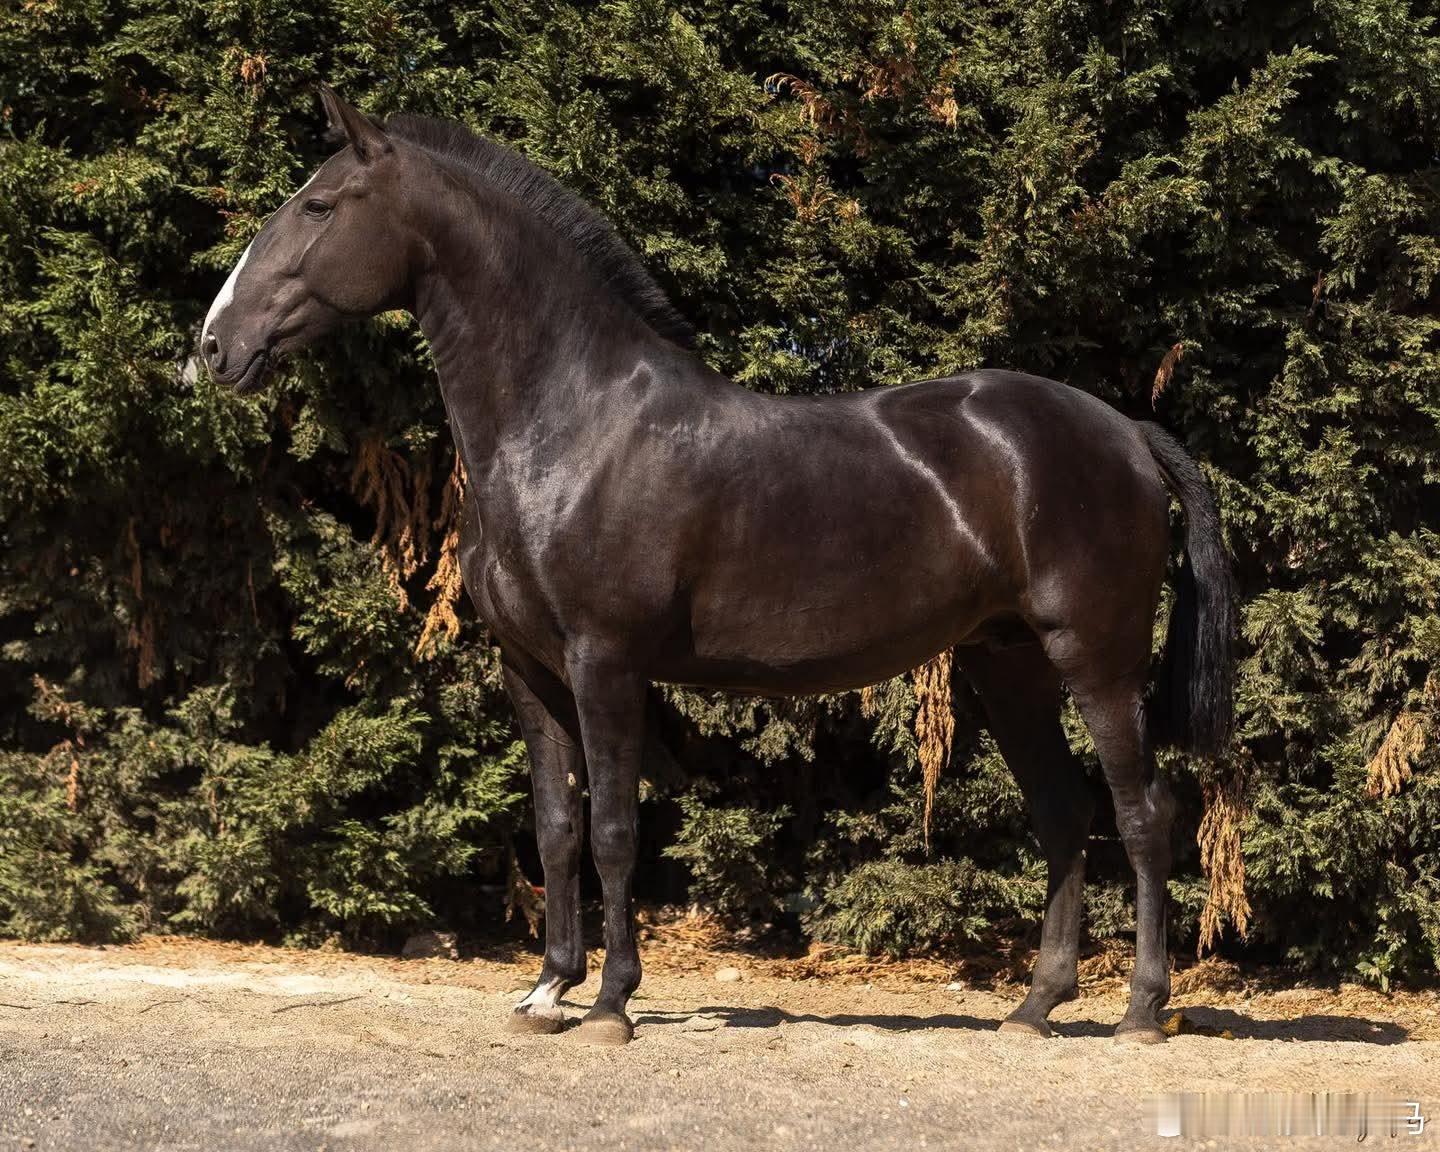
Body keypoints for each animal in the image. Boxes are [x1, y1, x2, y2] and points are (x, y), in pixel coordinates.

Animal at [201, 86, 1235, 1047]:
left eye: (318, 206)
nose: (214, 344)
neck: (572, 422)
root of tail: (1125, 432)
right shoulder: (531, 670)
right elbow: (557, 827)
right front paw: (546, 991)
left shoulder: (605, 662)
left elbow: (615, 832)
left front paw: (611, 1004)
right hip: (1007, 663)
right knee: (1064, 814)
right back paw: (1035, 1006)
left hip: (1093, 660)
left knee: (1143, 813)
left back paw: (1142, 1010)